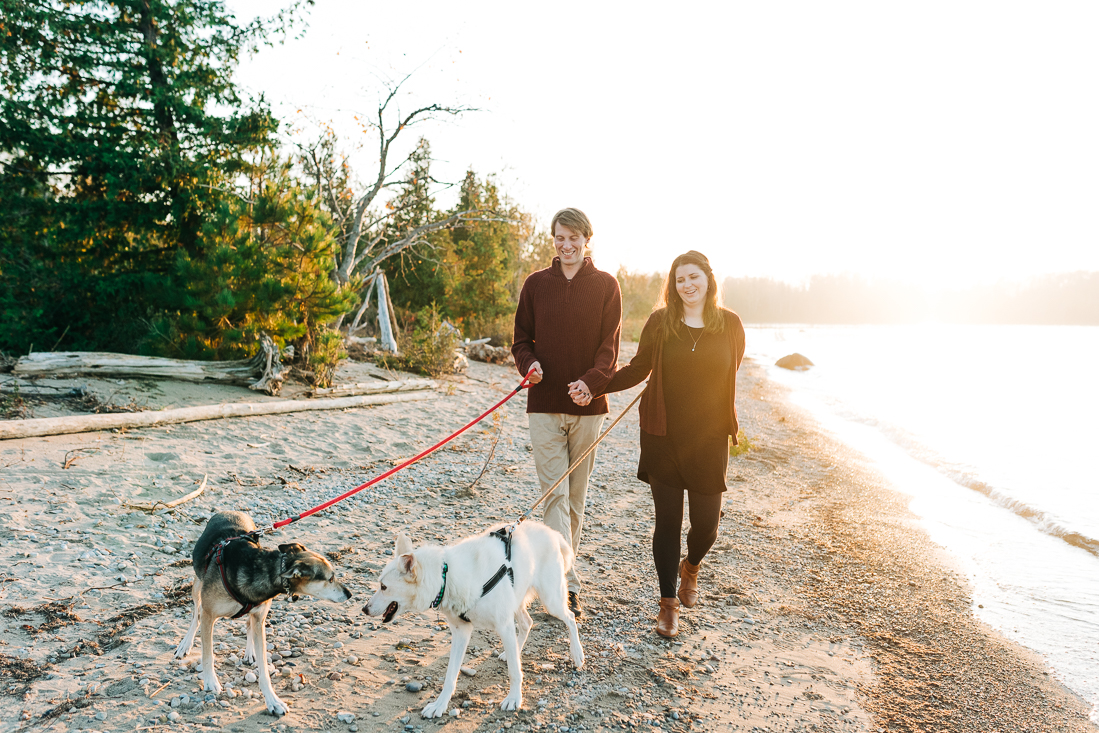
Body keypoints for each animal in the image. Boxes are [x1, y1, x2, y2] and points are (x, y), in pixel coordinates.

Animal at [175, 514, 349, 712]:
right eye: (331, 578)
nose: (349, 594)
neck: (260, 569)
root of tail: (230, 511)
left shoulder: (259, 617)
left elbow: (264, 669)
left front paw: (273, 700)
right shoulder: (208, 615)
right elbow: (207, 654)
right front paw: (211, 681)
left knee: (249, 624)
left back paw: (249, 652)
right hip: (197, 586)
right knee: (195, 614)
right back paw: (185, 644)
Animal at [362, 520, 584, 716]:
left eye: (383, 587)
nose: (364, 609)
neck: (446, 576)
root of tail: (553, 533)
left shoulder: (504, 625)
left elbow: (514, 671)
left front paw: (514, 698)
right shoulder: (461, 633)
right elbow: (450, 676)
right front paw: (440, 705)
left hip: (551, 598)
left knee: (569, 618)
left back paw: (577, 653)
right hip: (517, 598)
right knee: (527, 623)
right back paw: (511, 652)